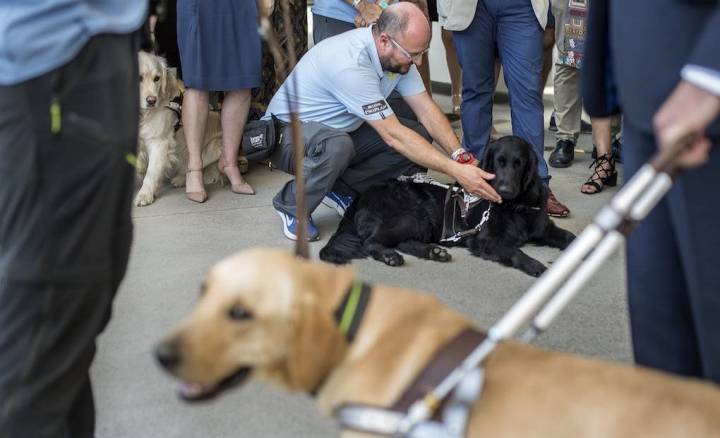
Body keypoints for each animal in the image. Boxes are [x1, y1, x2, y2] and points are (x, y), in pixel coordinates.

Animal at [320, 135, 572, 276]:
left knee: (403, 242)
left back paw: (434, 251)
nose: (505, 190)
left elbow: (569, 236)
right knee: (372, 241)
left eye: (519, 164)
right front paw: (535, 265)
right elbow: (515, 251)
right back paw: (391, 256)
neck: (514, 206)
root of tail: (361, 196)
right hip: (412, 216)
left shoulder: (543, 228)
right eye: (499, 163)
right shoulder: (486, 239)